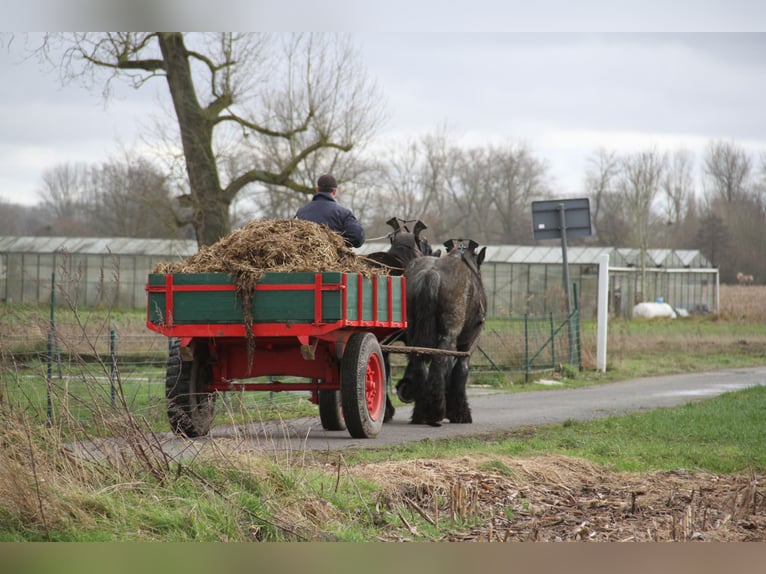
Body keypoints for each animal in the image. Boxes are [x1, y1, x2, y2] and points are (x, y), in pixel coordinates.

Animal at [395, 238, 487, 426]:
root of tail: (431, 274)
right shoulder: (469, 341)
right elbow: (460, 369)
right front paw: (460, 413)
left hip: (412, 331)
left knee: (419, 360)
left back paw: (421, 413)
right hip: (449, 334)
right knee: (439, 361)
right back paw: (435, 411)